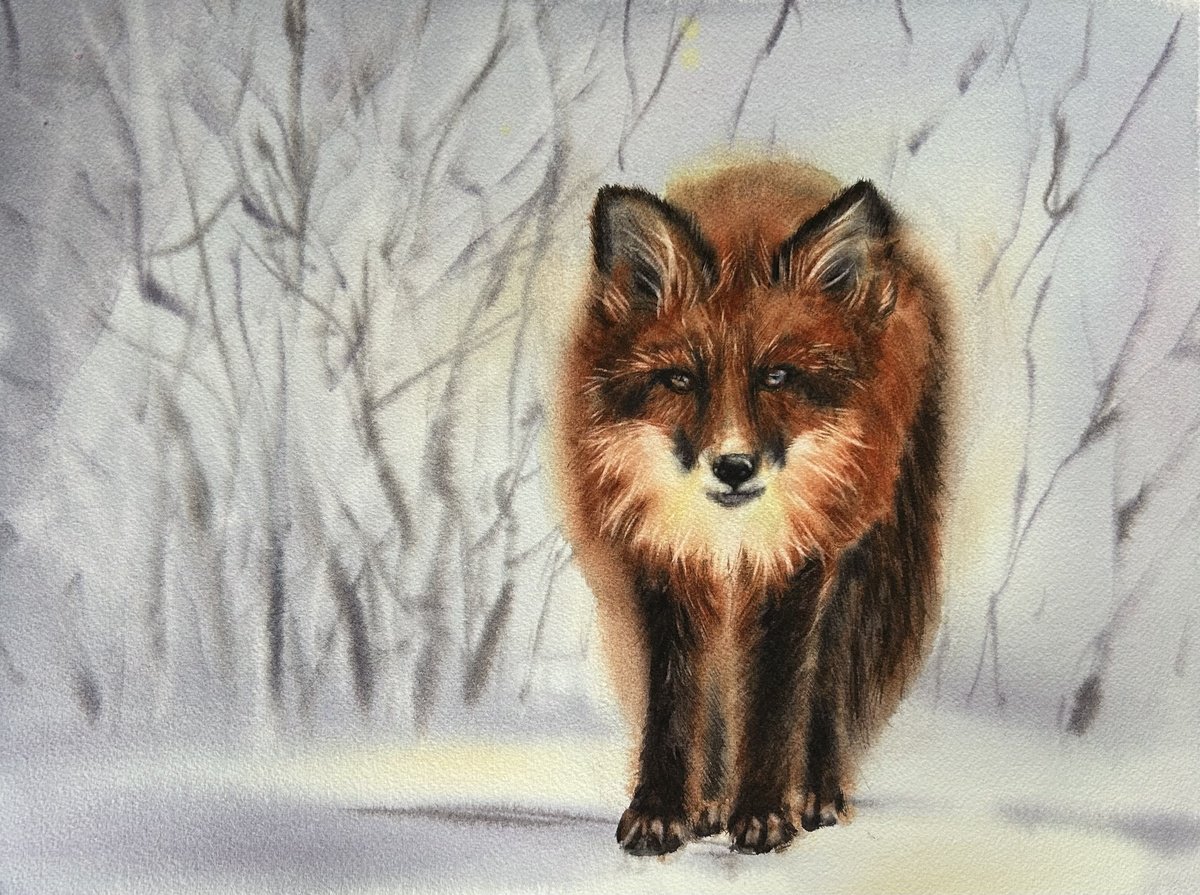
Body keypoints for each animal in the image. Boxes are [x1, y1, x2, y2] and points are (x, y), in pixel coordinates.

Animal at [550, 156, 948, 855]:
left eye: (778, 377)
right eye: (681, 380)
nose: (733, 467)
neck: (729, 534)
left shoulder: (800, 567)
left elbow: (776, 702)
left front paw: (763, 813)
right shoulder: (666, 564)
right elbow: (676, 701)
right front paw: (663, 812)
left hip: (857, 554)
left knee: (824, 682)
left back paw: (815, 794)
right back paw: (711, 801)